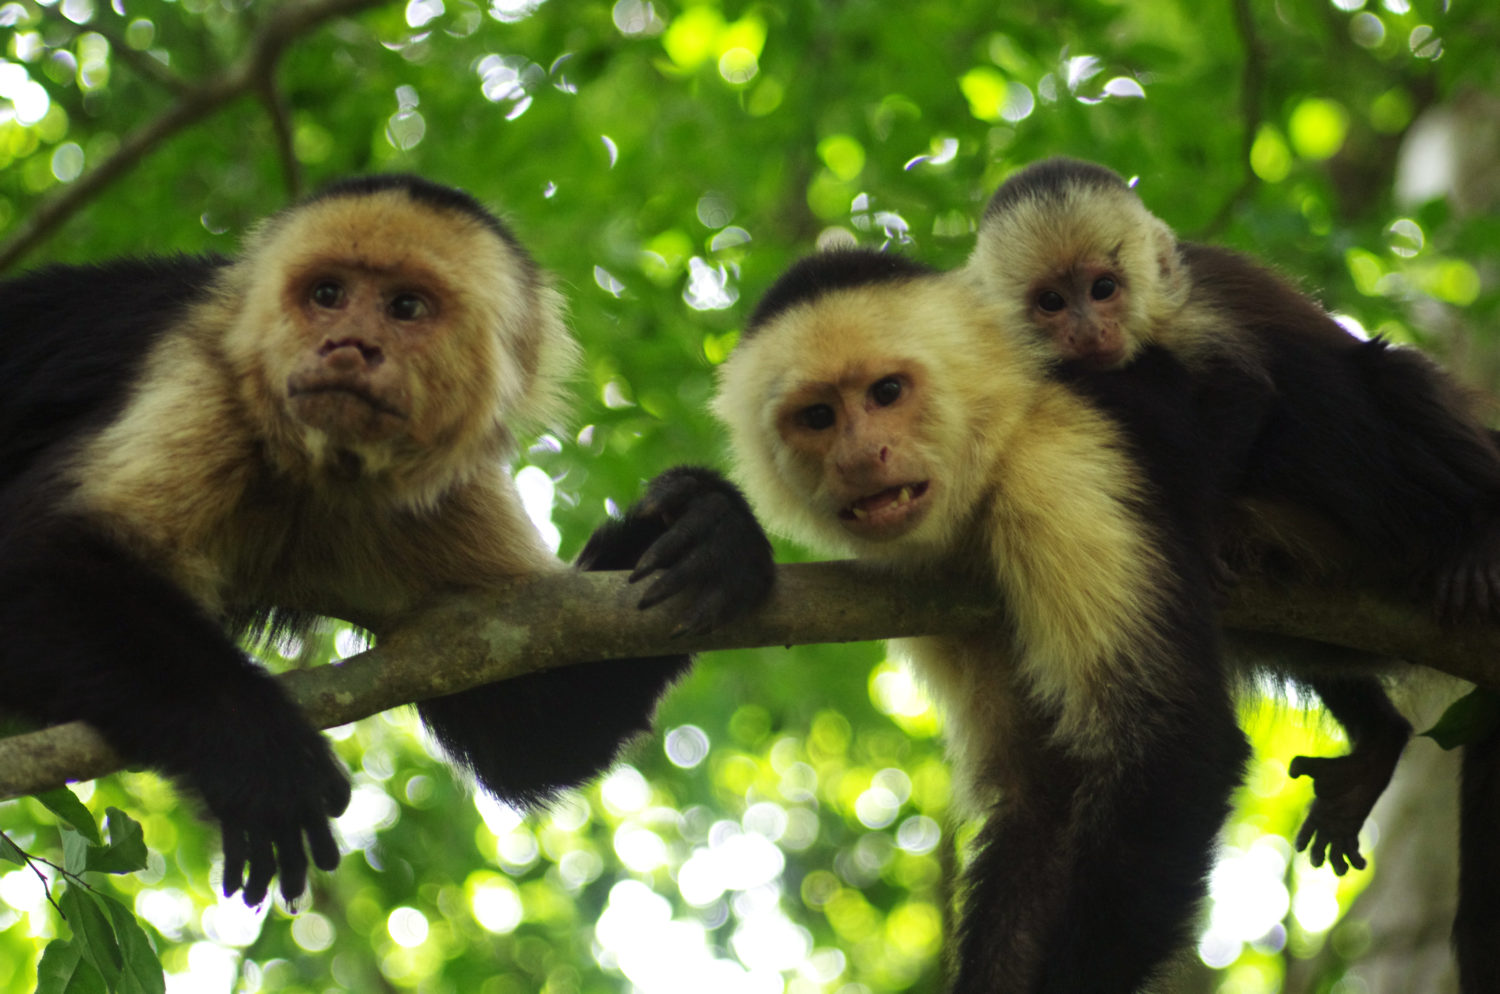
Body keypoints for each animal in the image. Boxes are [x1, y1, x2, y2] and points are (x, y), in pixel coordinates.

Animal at [0, 174, 774, 905]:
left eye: (406, 308)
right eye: (328, 294)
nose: (348, 346)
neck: (324, 474)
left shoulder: (450, 499)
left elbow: (526, 721)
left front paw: (711, 526)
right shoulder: (202, 379)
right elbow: (32, 558)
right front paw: (257, 748)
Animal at [714, 248, 1254, 994]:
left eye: (887, 392)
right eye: (818, 416)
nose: (860, 458)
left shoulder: (1056, 474)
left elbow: (1171, 738)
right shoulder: (952, 598)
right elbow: (1043, 797)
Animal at [966, 153, 1500, 989]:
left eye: (1103, 288)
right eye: (1051, 301)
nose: (1088, 329)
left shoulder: (1192, 314)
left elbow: (1246, 392)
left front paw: (1204, 524)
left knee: (1376, 376)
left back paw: (1480, 529)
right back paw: (1376, 738)